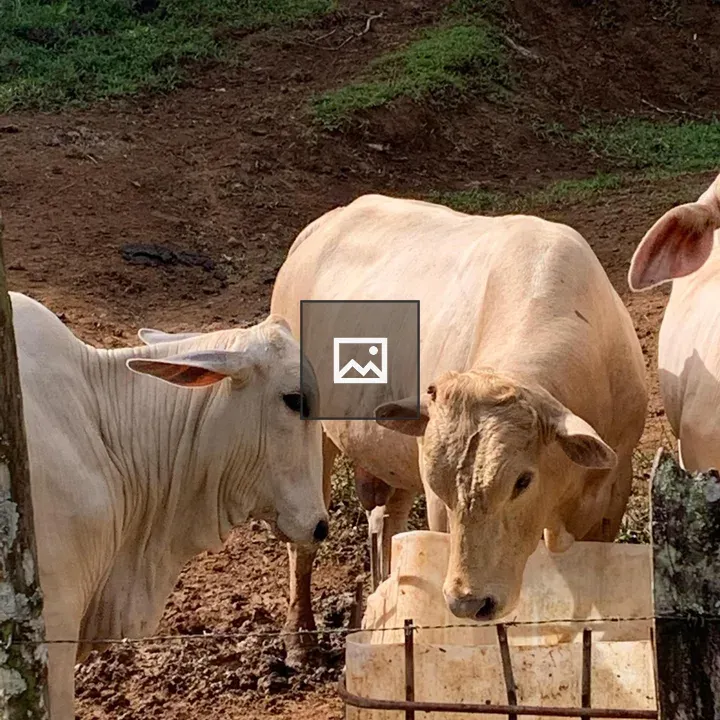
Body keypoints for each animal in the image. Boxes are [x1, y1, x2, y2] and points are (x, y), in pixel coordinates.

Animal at [270, 194, 647, 661]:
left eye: (522, 481)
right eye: (442, 484)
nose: (470, 601)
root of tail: (321, 226)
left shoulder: (614, 488)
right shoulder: (437, 507)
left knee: (389, 524)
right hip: (312, 438)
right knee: (302, 540)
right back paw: (299, 638)